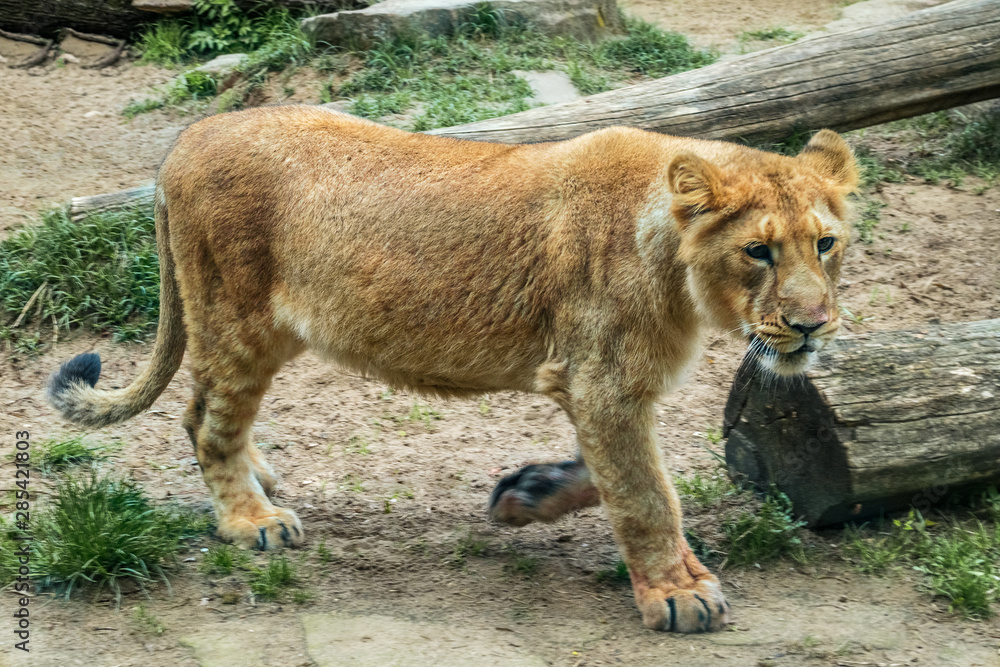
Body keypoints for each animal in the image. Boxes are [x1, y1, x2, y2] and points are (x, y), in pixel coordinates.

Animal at [47, 105, 857, 633]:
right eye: (758, 251)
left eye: (825, 243)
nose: (813, 324)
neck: (675, 264)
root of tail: (190, 136)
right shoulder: (603, 381)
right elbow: (647, 494)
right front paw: (679, 593)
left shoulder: (604, 388)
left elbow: (616, 473)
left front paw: (528, 494)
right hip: (236, 317)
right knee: (202, 417)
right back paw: (253, 518)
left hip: (270, 330)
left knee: (220, 415)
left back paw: (261, 479)